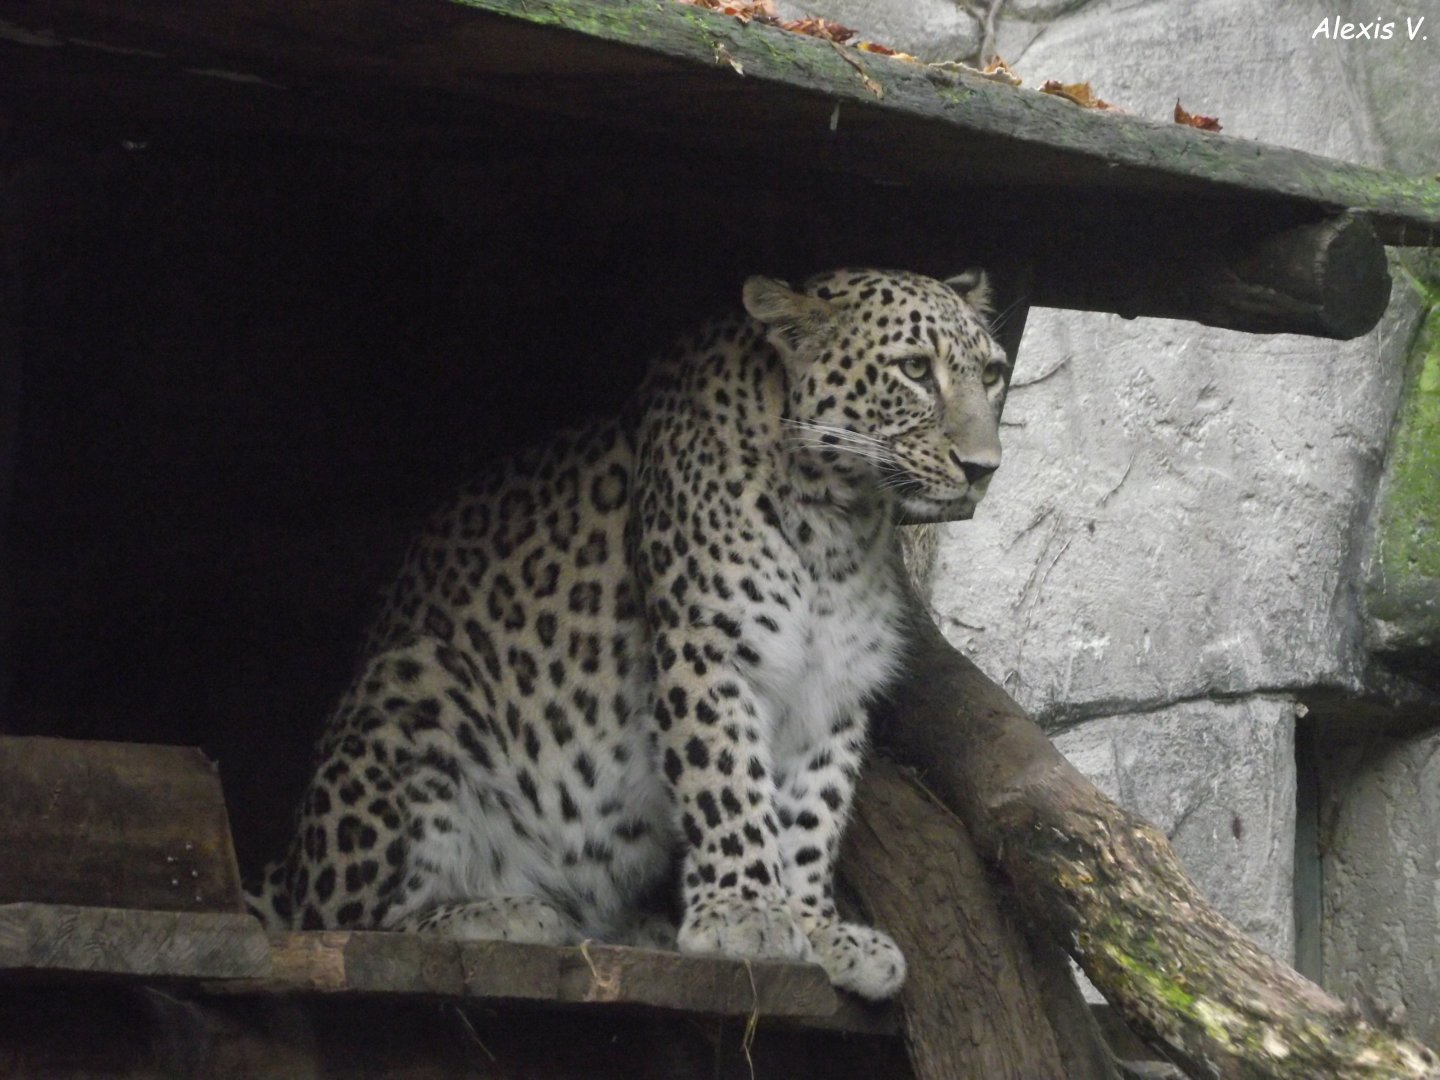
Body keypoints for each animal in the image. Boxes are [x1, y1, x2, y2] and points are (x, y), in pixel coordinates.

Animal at [245, 267, 1009, 1001]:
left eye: (993, 373)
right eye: (915, 369)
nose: (984, 468)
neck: (840, 518)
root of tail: (289, 863)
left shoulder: (834, 689)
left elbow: (812, 818)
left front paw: (816, 928)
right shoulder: (706, 648)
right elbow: (730, 782)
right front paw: (745, 914)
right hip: (411, 687)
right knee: (348, 920)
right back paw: (507, 912)